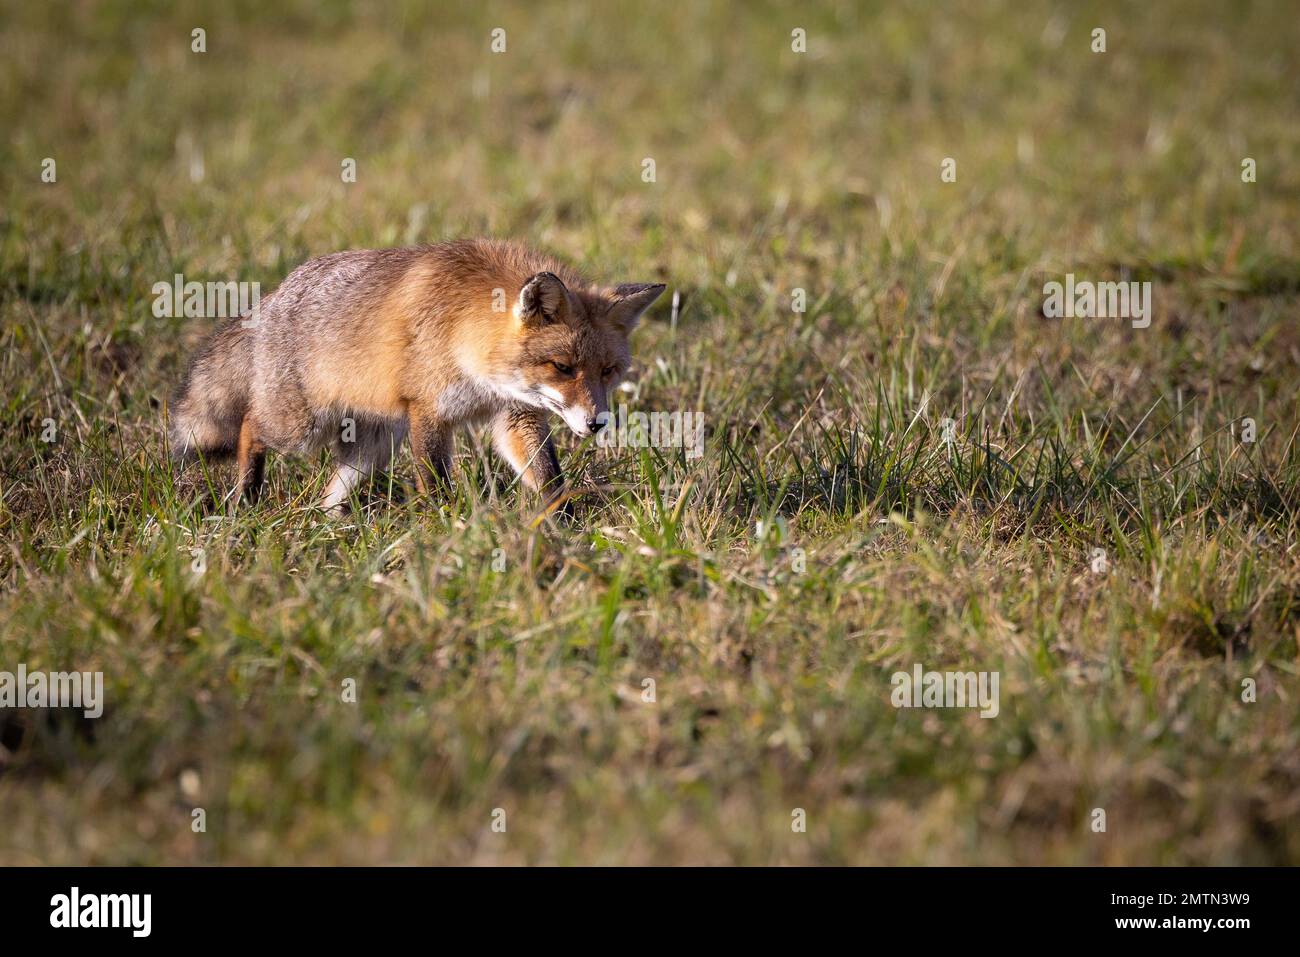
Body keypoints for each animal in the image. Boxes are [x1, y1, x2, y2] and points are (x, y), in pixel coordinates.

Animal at [167, 239, 665, 512]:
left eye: (609, 371)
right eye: (562, 367)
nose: (597, 423)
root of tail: (270, 299)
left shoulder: (515, 414)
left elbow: (548, 477)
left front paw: (563, 522)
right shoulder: (428, 411)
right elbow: (437, 482)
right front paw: (445, 527)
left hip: (373, 445)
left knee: (331, 490)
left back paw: (334, 526)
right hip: (300, 427)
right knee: (250, 425)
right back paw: (248, 495)